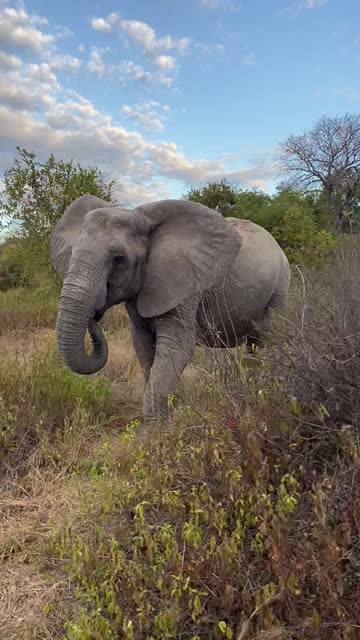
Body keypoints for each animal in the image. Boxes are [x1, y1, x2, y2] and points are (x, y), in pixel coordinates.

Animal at [50, 194, 292, 424]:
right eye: (71, 252)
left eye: (118, 259)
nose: (95, 315)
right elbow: (144, 347)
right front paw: (163, 421)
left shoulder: (184, 281)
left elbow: (178, 346)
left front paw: (153, 433)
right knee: (254, 345)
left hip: (280, 287)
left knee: (267, 337)